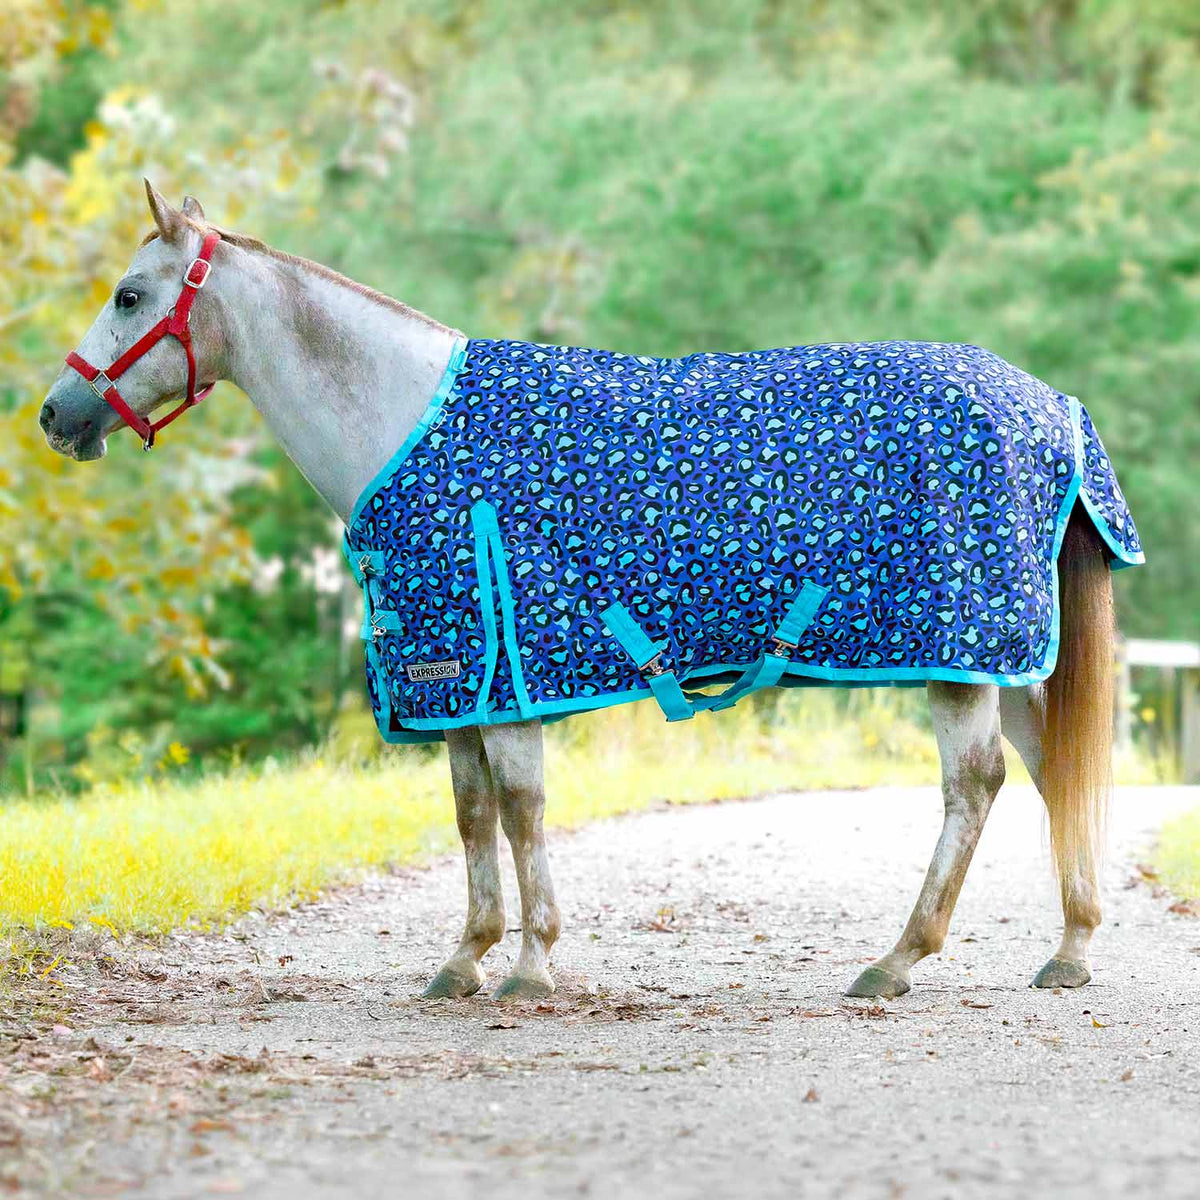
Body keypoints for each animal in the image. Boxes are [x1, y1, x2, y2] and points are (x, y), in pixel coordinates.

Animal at [39, 181, 1140, 1002]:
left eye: (129, 295)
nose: (57, 413)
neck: (403, 421)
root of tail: (1053, 408)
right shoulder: (457, 680)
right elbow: (473, 812)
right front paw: (466, 957)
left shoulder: (504, 671)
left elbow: (523, 808)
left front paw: (531, 964)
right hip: (1004, 656)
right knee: (1051, 767)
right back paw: (1072, 948)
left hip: (963, 654)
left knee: (978, 783)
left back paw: (898, 959)